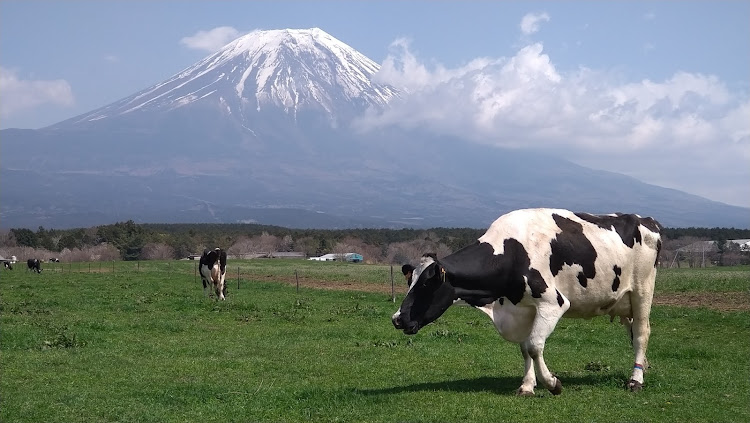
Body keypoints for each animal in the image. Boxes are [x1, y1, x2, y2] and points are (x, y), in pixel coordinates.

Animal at [394, 209, 664, 398]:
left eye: (427, 284)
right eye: (409, 281)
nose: (398, 318)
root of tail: (646, 219)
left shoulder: (553, 303)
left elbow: (534, 346)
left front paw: (552, 383)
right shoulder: (522, 309)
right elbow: (525, 349)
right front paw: (526, 386)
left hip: (642, 290)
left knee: (641, 333)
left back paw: (636, 380)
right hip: (623, 302)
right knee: (632, 332)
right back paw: (643, 366)